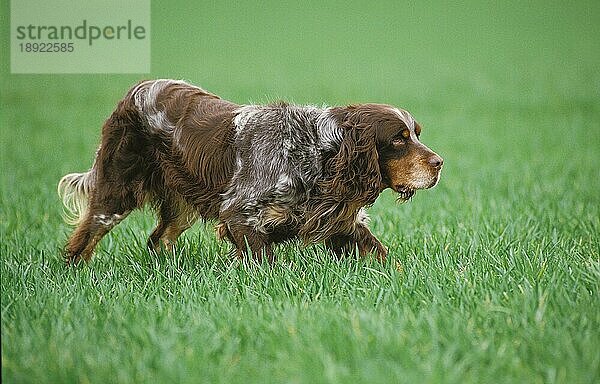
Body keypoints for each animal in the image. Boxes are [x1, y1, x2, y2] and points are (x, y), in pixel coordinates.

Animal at [58, 78, 440, 264]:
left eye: (416, 133)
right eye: (398, 139)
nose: (439, 164)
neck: (317, 153)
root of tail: (133, 91)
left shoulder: (340, 223)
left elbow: (382, 256)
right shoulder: (239, 215)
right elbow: (266, 262)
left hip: (180, 205)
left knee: (158, 239)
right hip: (116, 192)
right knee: (83, 240)